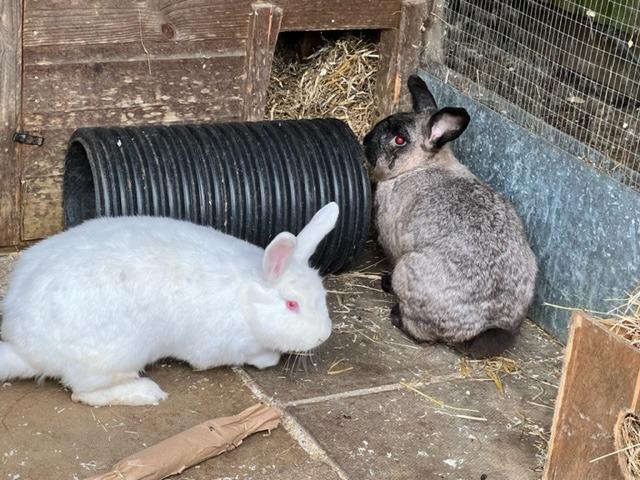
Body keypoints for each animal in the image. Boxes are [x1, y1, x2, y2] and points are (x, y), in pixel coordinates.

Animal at [0, 202, 339, 406]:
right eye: (292, 305)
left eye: (321, 295)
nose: (323, 335)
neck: (246, 297)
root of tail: (25, 348)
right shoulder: (217, 347)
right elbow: (260, 356)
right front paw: (268, 357)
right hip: (113, 359)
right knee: (83, 394)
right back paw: (146, 392)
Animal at [363, 74, 537, 359]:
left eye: (399, 140)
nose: (366, 140)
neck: (421, 165)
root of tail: (484, 326)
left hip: (407, 269)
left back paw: (396, 313)